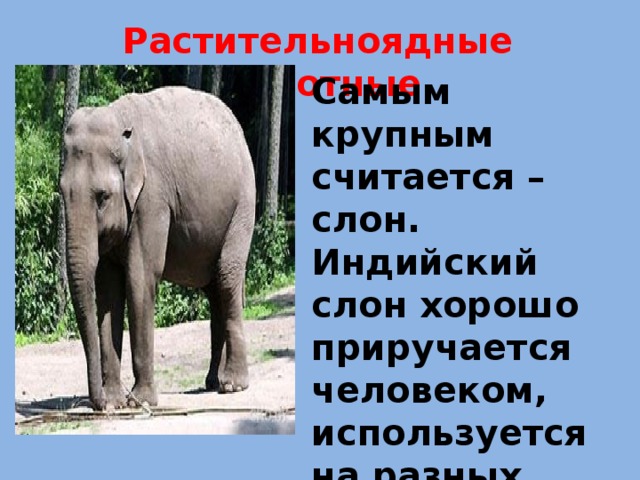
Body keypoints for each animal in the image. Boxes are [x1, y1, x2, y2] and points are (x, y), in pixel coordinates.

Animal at [60, 86, 256, 411]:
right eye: (61, 193)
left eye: (102, 197)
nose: (98, 405)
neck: (120, 125)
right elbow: (108, 289)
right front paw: (116, 400)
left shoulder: (153, 198)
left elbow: (140, 277)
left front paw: (138, 401)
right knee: (216, 289)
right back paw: (212, 383)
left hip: (242, 207)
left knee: (227, 279)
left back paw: (232, 386)